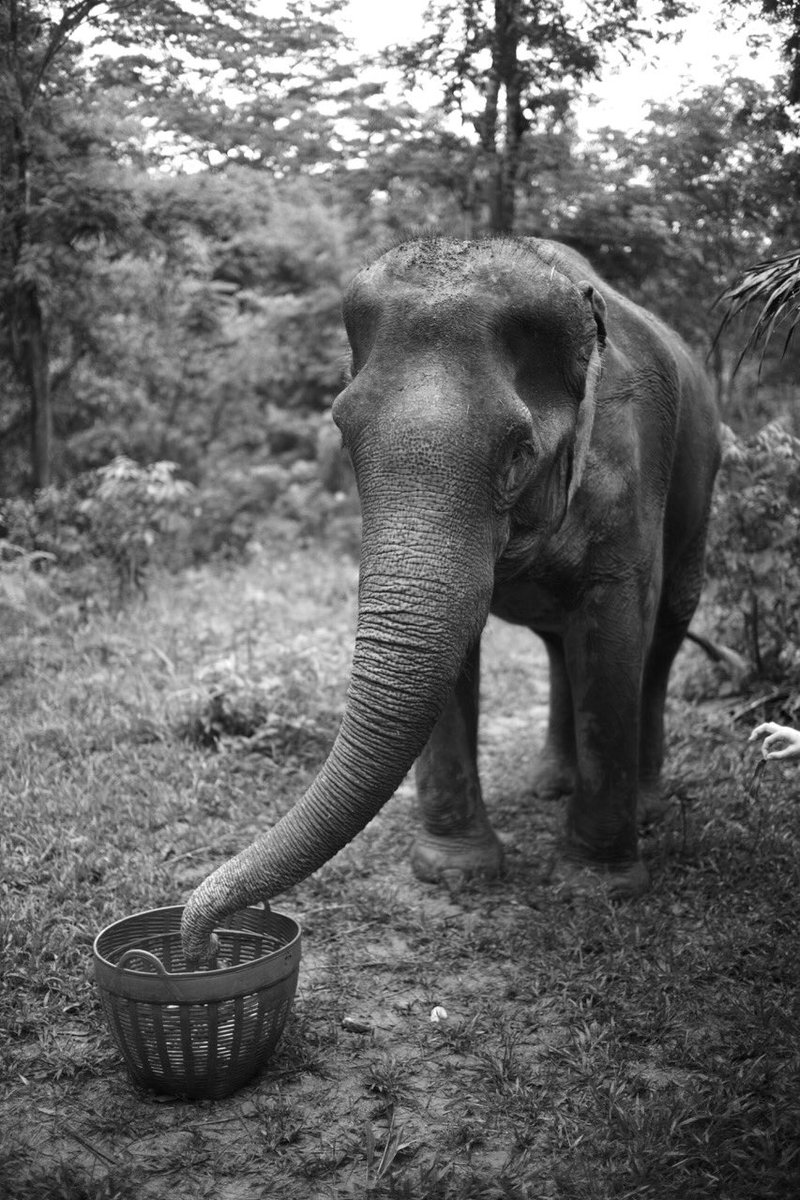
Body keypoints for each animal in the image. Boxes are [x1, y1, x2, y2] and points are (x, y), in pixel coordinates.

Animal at [181, 235, 721, 963]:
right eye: (343, 433)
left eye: (520, 450)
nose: (203, 944)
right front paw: (454, 873)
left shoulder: (631, 465)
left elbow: (614, 628)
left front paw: (598, 889)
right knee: (560, 641)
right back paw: (550, 784)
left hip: (701, 486)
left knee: (664, 632)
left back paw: (649, 806)